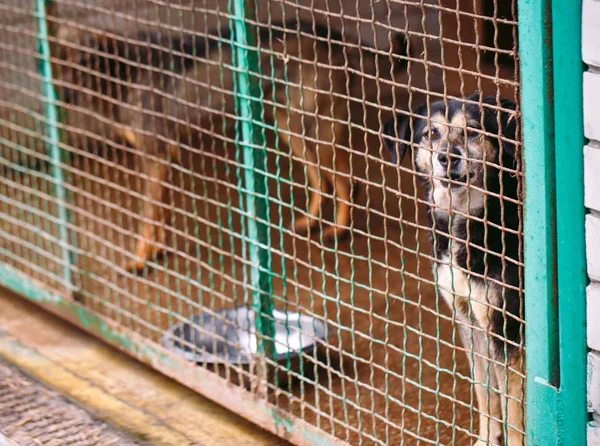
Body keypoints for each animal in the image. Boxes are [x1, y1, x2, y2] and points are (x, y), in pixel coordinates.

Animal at [51, 18, 408, 272]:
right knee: (321, 180)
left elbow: (148, 217)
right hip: (289, 128)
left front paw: (141, 260)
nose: (62, 97)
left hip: (312, 130)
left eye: (81, 64)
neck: (123, 72)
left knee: (348, 181)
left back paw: (339, 231)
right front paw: (159, 251)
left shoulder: (155, 156)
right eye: (58, 62)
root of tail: (330, 33)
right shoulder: (162, 157)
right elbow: (161, 213)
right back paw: (311, 222)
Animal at [384, 95, 520, 446]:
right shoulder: (468, 320)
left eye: (472, 131)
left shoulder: (507, 331)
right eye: (431, 134)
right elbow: (486, 392)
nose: (447, 157)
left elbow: (514, 411)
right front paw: (487, 439)